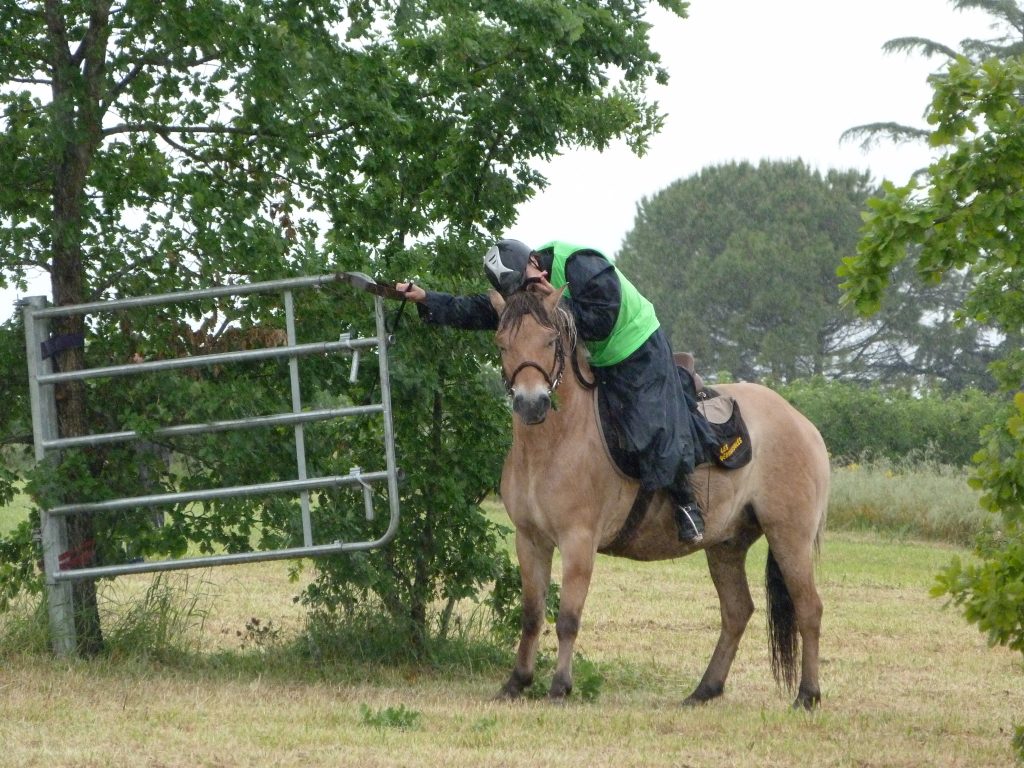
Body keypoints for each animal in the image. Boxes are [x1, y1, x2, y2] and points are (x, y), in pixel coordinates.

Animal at [489, 286, 831, 708]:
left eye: (550, 341)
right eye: (502, 343)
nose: (531, 403)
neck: (557, 441)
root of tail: (804, 425)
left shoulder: (577, 542)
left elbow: (568, 617)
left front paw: (559, 687)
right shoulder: (530, 540)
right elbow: (532, 614)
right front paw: (516, 682)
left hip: (790, 537)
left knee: (808, 609)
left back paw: (807, 695)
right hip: (726, 546)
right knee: (737, 611)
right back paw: (705, 690)